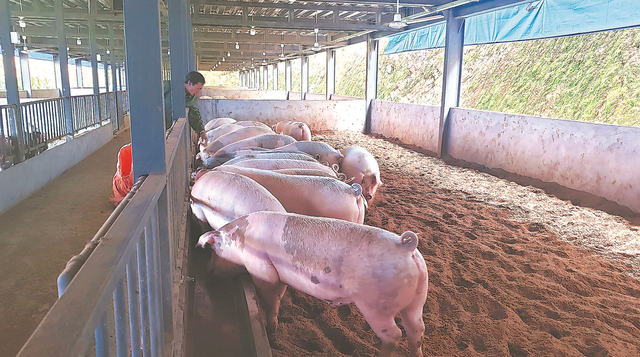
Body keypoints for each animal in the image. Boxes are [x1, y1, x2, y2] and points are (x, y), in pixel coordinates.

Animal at [199, 211, 430, 356]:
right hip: (417, 300)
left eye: (214, 249)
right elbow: (279, 297)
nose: (208, 271)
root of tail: (405, 247)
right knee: (417, 330)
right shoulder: (280, 277)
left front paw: (270, 330)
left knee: (394, 334)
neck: (242, 239)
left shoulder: (263, 270)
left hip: (376, 306)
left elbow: (269, 300)